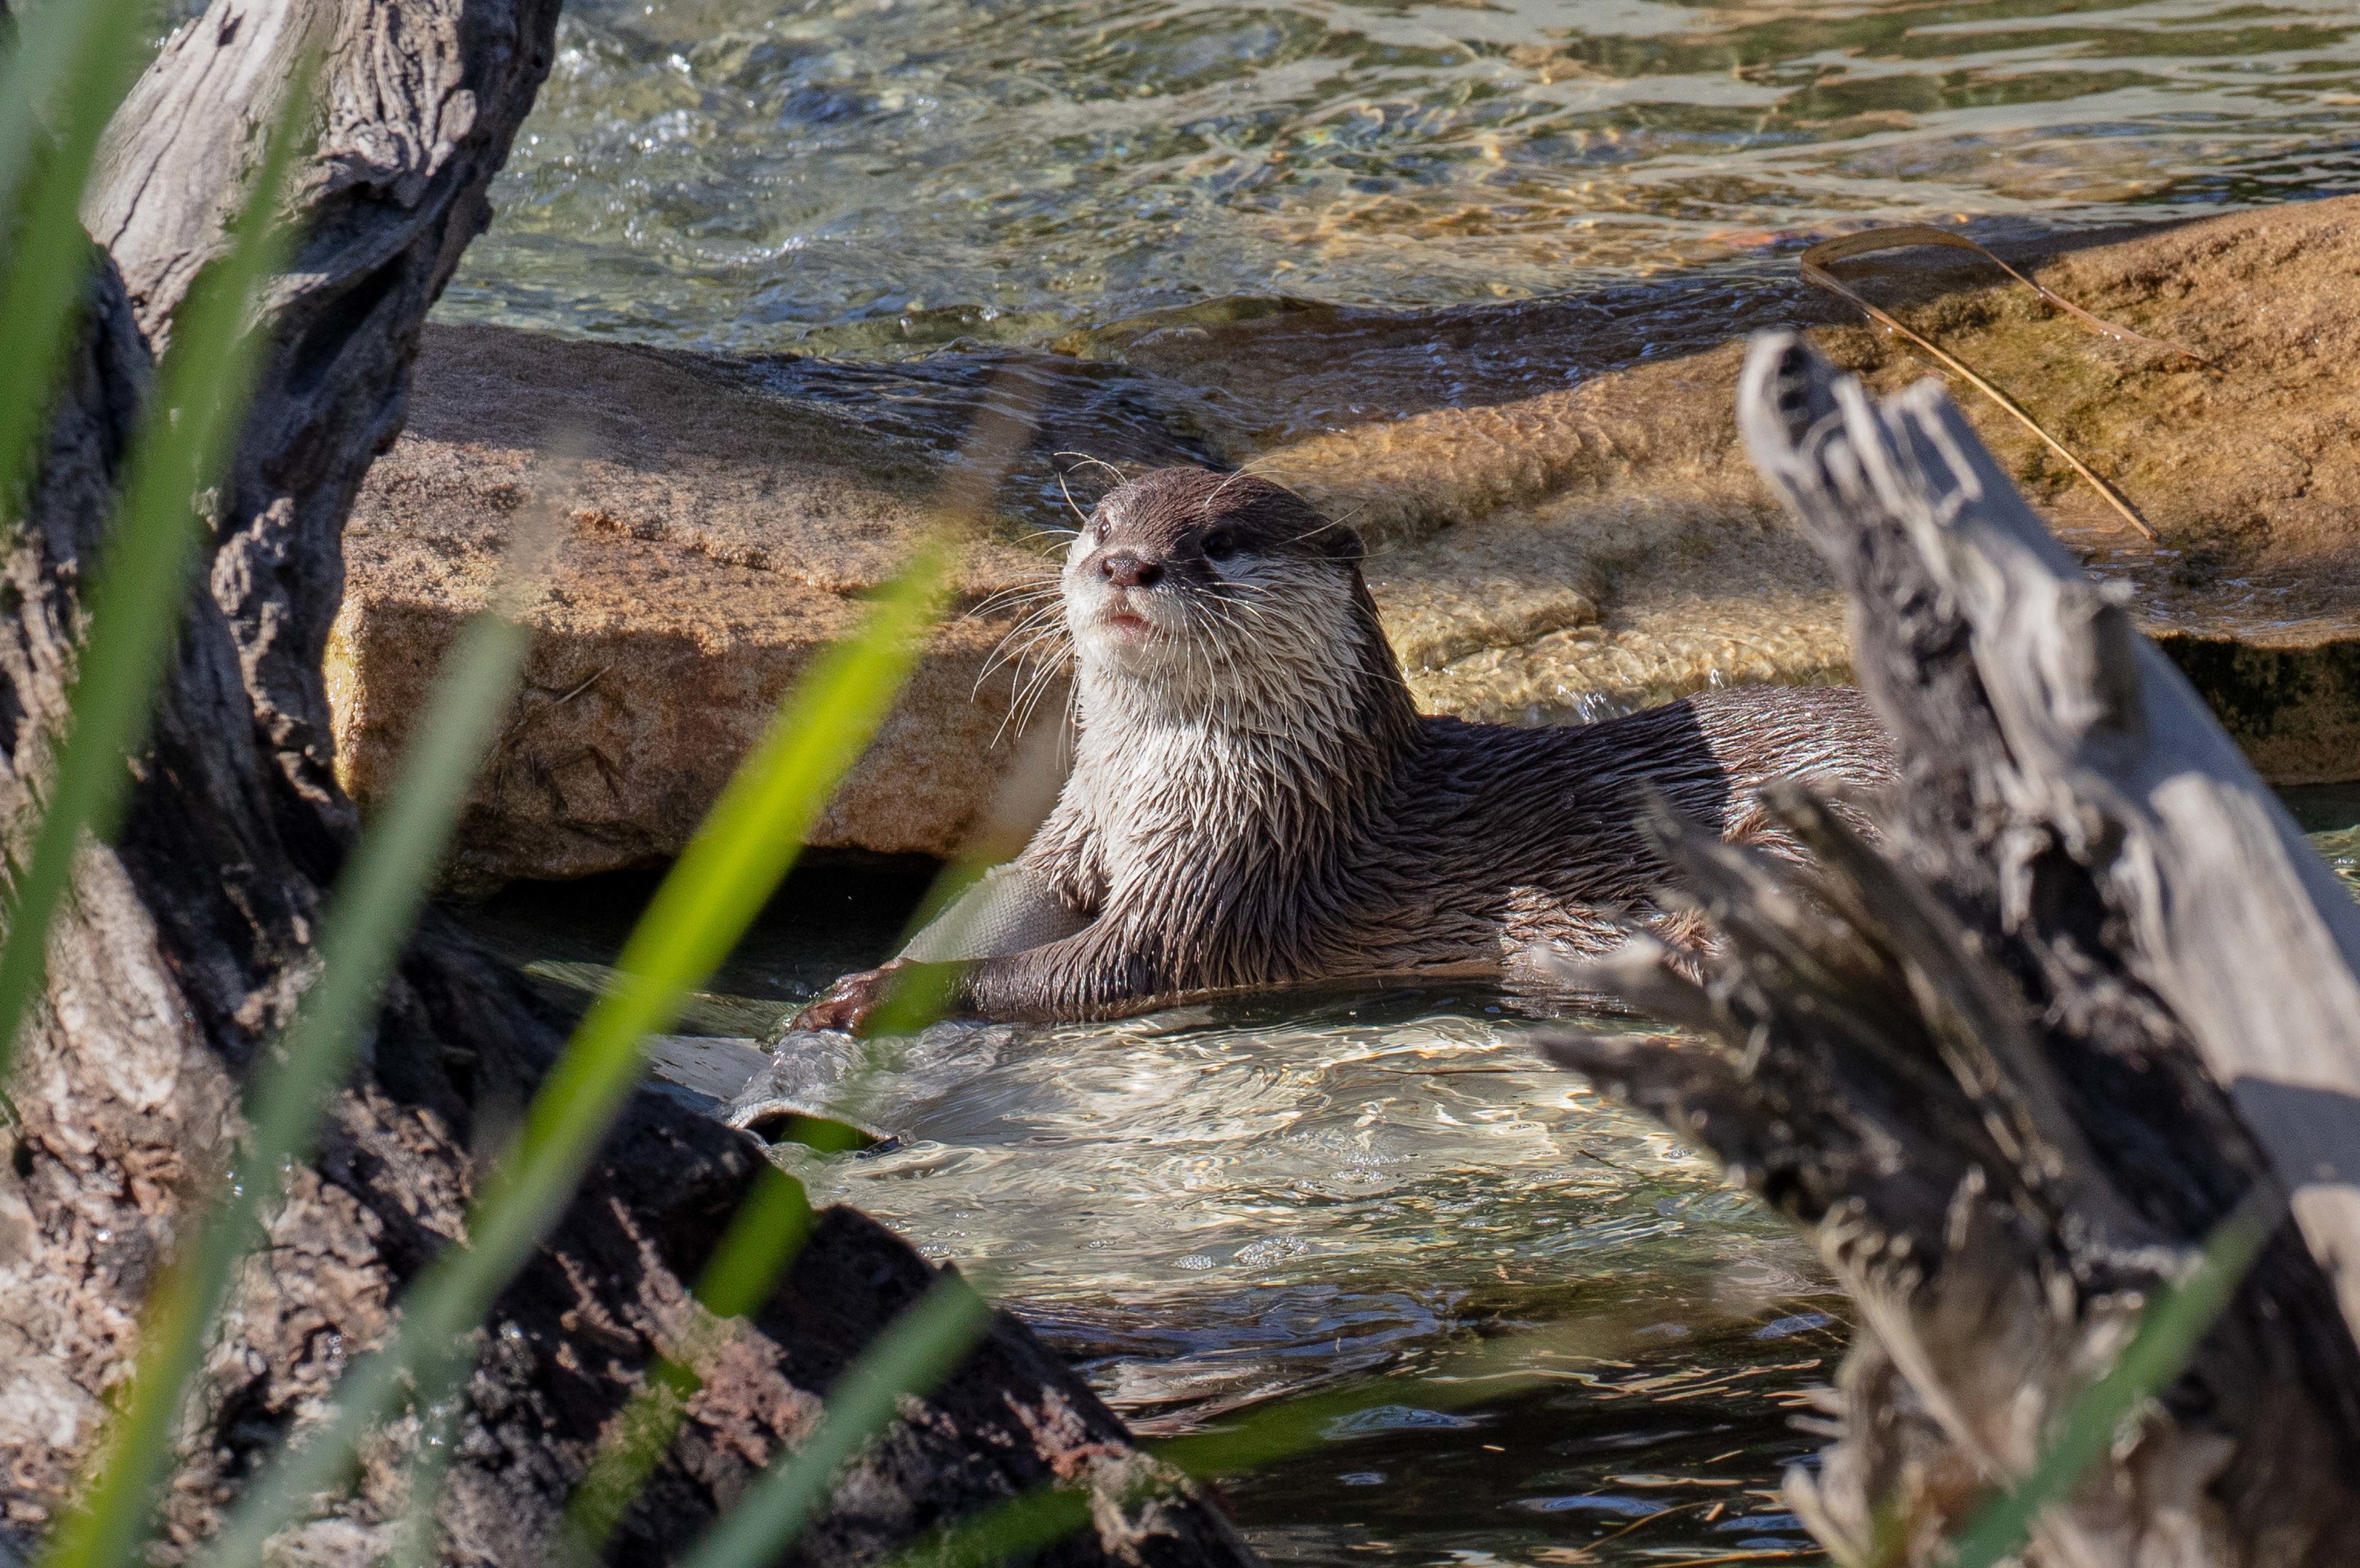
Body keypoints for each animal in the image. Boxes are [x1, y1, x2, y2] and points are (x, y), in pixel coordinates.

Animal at [796, 467, 1893, 1029]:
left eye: (1218, 544)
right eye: (1099, 525)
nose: (1127, 564)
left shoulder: (1228, 877)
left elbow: (1103, 969)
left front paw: (872, 994)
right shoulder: (1077, 826)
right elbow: (1011, 893)